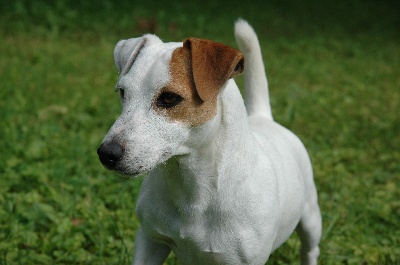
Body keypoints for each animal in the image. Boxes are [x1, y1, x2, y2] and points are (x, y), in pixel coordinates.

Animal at [97, 19, 322, 264]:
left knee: (310, 249)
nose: (106, 153)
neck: (192, 189)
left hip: (311, 218)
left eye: (169, 98)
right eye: (123, 92)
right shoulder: (150, 240)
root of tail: (263, 117)